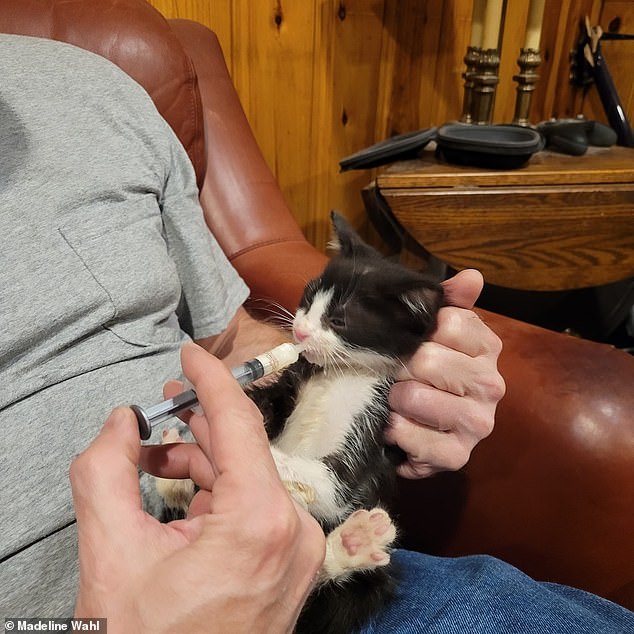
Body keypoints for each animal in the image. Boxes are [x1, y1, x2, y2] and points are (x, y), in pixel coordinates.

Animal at [154, 214, 440, 632]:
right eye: (307, 298)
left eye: (339, 320)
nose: (300, 331)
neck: (336, 375)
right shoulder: (290, 383)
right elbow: (266, 402)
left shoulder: (370, 431)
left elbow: (331, 484)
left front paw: (252, 450)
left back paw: (357, 541)